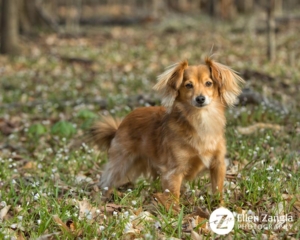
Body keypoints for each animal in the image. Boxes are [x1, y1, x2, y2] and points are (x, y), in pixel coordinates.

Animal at [90, 57, 245, 206]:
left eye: (209, 83)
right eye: (188, 85)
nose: (200, 98)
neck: (201, 120)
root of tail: (119, 126)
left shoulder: (218, 164)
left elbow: (218, 190)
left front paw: (220, 206)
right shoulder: (173, 171)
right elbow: (174, 197)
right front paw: (174, 212)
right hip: (122, 162)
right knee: (108, 181)